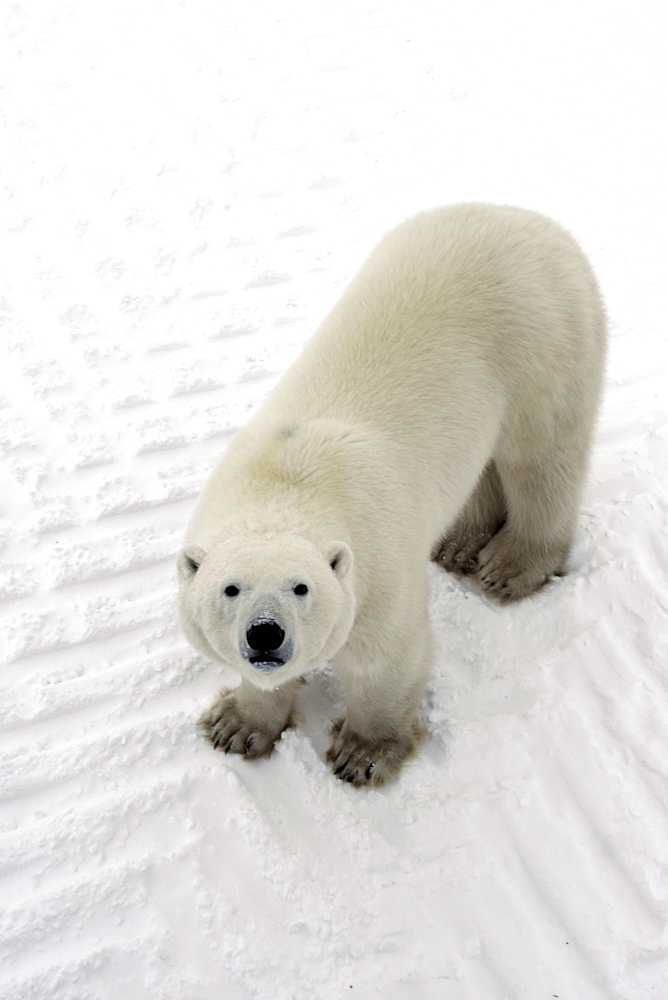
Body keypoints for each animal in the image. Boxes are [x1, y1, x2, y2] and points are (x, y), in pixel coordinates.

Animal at [177, 201, 604, 780]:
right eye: (230, 589)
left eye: (301, 587)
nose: (265, 633)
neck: (286, 485)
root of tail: (533, 221)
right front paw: (235, 726)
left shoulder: (378, 571)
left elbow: (386, 660)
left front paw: (362, 754)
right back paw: (458, 545)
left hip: (543, 341)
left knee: (540, 457)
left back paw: (509, 565)